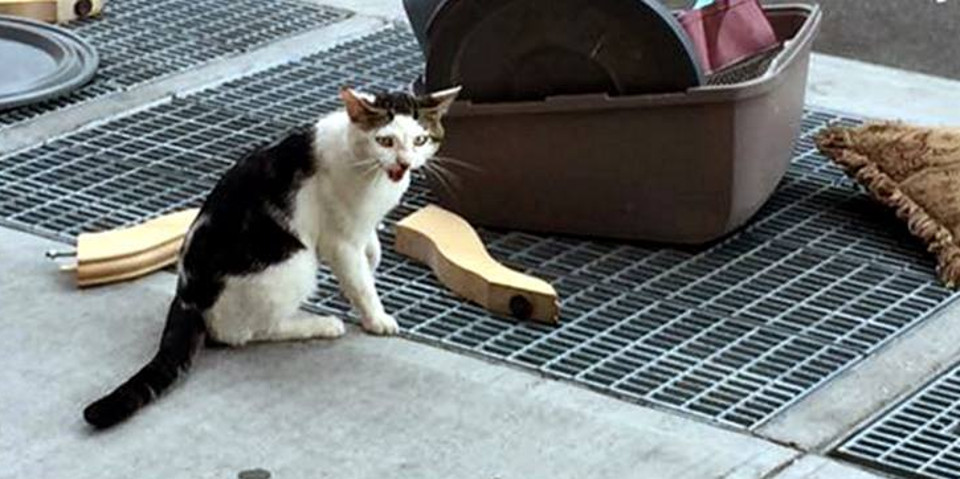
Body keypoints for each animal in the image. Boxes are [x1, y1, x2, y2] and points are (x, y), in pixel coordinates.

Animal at [82, 84, 462, 430]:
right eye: (385, 141)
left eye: (420, 140)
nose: (404, 163)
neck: (370, 172)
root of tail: (187, 294)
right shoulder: (340, 241)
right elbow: (361, 284)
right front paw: (377, 318)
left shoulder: (362, 226)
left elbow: (371, 251)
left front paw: (373, 261)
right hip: (295, 263)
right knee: (245, 332)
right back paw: (319, 324)